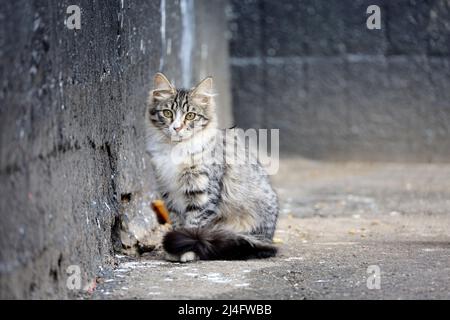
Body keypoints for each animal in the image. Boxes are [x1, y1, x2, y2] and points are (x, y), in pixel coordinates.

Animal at [146, 73, 278, 262]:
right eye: (167, 113)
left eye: (190, 116)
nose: (176, 128)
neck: (175, 149)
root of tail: (269, 237)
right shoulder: (169, 193)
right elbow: (178, 223)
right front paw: (174, 253)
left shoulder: (202, 192)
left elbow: (193, 226)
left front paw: (188, 253)